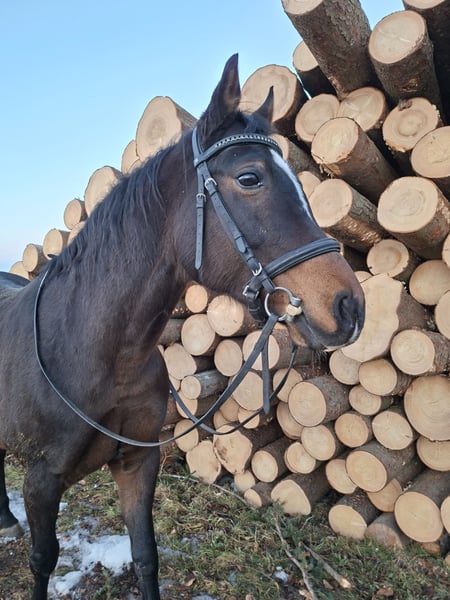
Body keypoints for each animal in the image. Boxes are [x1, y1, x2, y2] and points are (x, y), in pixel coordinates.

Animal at [0, 54, 364, 600]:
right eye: (250, 178)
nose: (350, 307)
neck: (99, 353)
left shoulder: (137, 464)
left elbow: (145, 556)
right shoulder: (41, 483)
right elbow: (43, 561)